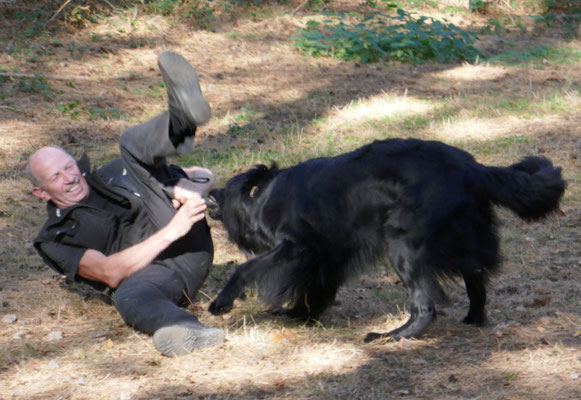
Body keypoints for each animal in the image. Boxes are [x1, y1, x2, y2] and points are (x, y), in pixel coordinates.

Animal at [206, 138, 564, 340]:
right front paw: (300, 315)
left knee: (425, 307)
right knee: (476, 282)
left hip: (404, 245)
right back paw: (473, 320)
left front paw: (221, 302)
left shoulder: (298, 248)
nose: (209, 194)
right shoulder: (329, 254)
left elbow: (247, 268)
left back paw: (392, 336)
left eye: (223, 193)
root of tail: (473, 168)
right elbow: (316, 288)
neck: (264, 197)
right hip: (461, 238)